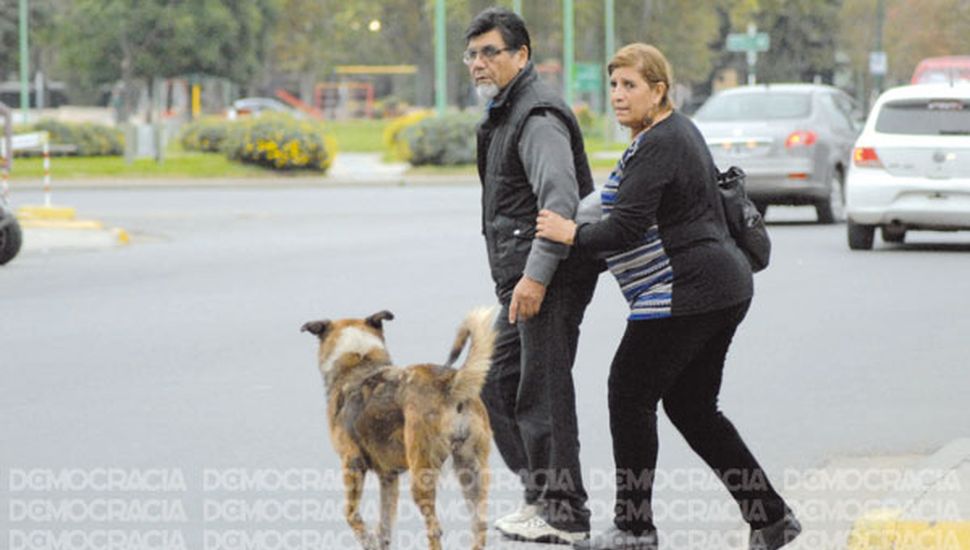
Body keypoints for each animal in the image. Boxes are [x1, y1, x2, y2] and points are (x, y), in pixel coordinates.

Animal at [298, 308, 496, 548]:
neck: (359, 360)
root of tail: (449, 382)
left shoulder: (352, 462)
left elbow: (351, 514)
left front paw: (367, 540)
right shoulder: (388, 477)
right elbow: (384, 527)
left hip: (421, 477)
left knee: (435, 530)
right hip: (471, 472)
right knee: (479, 525)